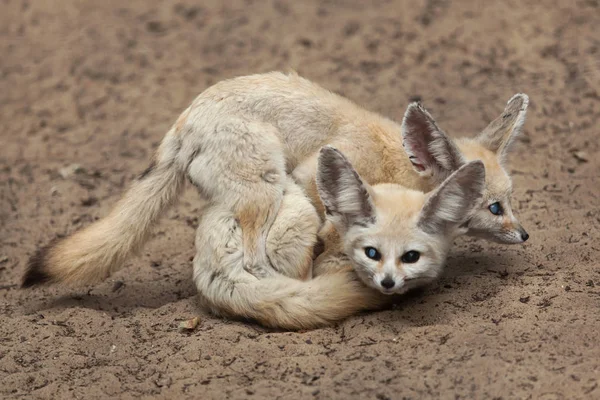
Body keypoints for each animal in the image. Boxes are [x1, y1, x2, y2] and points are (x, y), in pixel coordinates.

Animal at [22, 71, 528, 296]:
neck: (395, 160)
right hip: (268, 189)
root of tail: (186, 120)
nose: (524, 235)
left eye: (510, 202)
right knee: (253, 257)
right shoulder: (314, 177)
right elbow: (328, 232)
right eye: (494, 208)